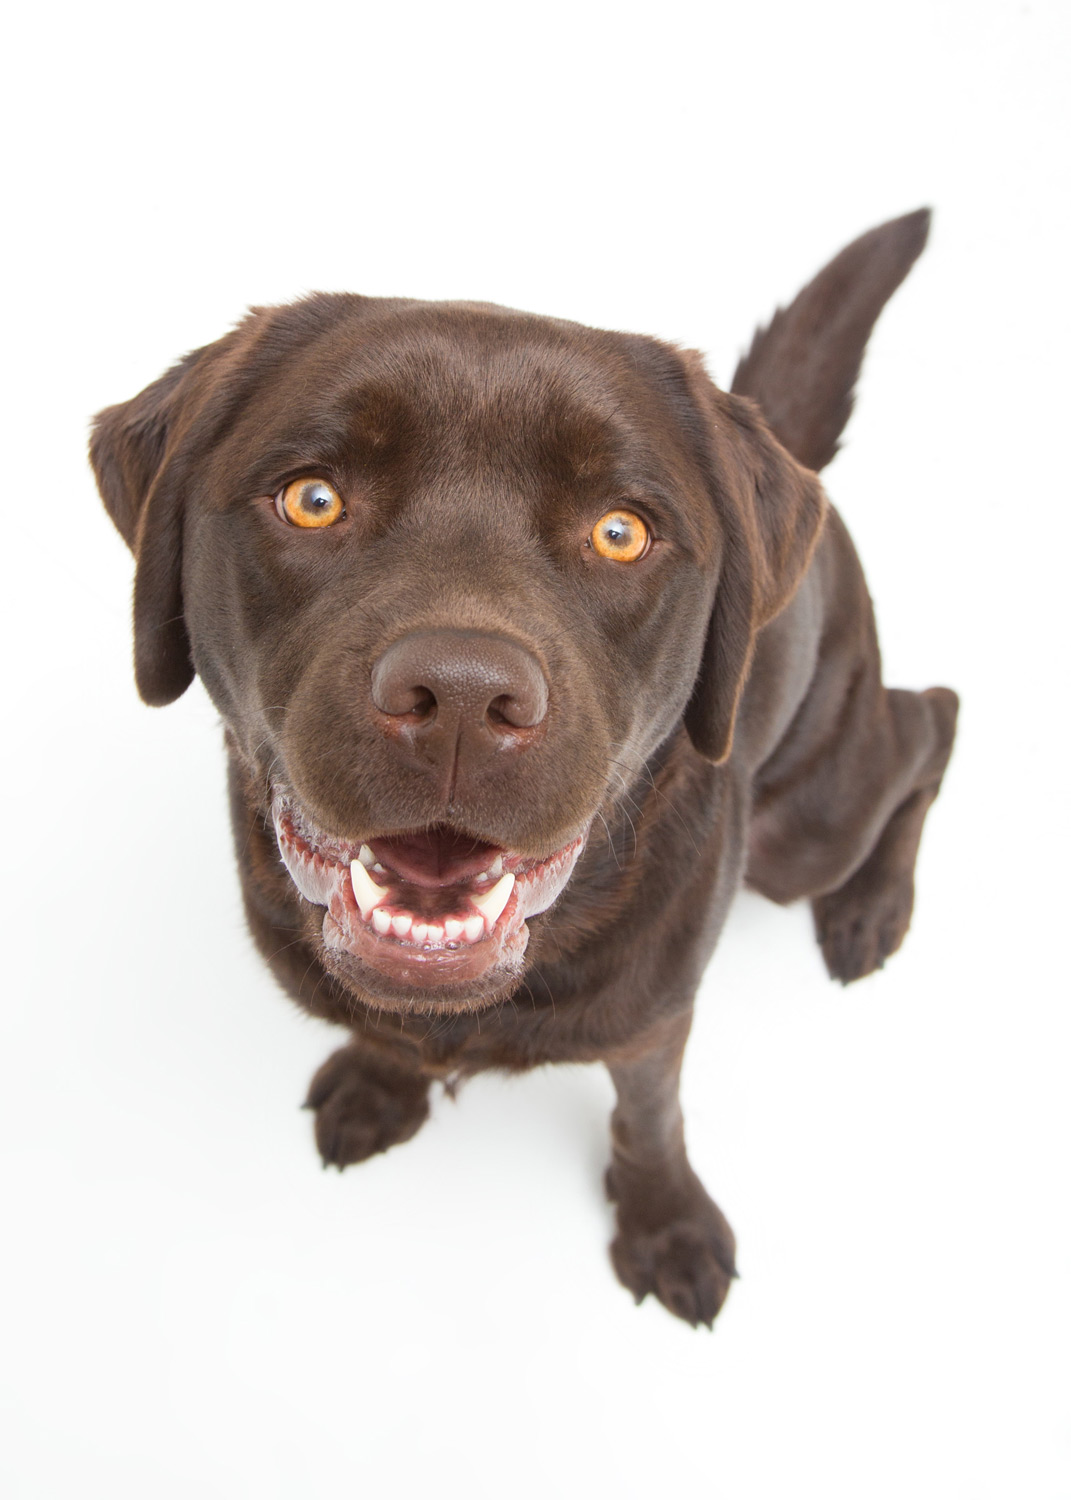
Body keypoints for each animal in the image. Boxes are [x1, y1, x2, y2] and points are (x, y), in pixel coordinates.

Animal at [89, 208, 954, 1326]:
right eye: (312, 498)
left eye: (621, 532)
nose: (460, 695)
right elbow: (387, 1032)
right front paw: (379, 1083)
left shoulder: (655, 1015)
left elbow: (649, 1115)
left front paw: (665, 1223)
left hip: (807, 825)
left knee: (931, 719)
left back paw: (871, 906)